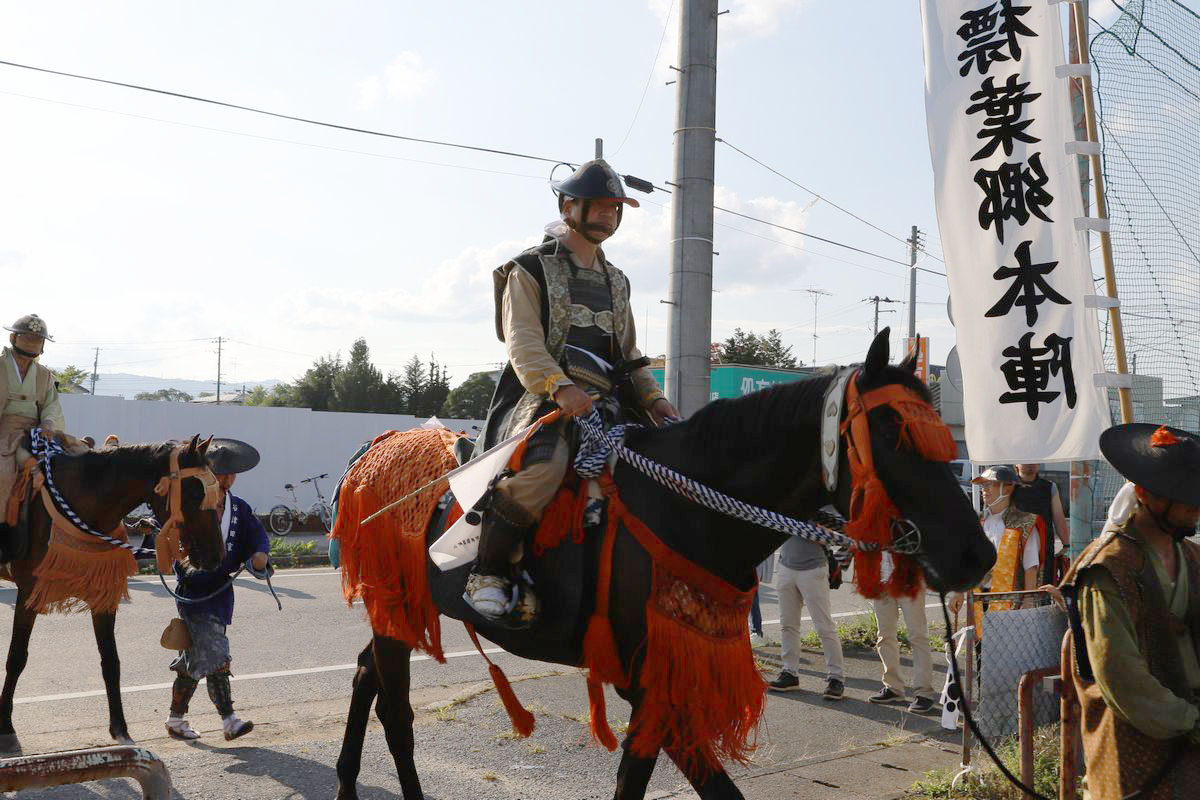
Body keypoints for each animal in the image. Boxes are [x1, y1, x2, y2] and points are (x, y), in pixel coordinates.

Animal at [0, 434, 224, 753]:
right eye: (194, 494)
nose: (216, 555)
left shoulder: (103, 596)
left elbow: (111, 660)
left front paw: (120, 729)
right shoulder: (30, 591)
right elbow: (17, 658)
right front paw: (6, 728)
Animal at [331, 328, 993, 796]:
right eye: (889, 433)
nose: (977, 553)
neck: (685, 509)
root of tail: (375, 450)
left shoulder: (667, 680)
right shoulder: (646, 681)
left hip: (396, 605)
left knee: (367, 676)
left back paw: (344, 781)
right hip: (393, 600)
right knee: (396, 711)